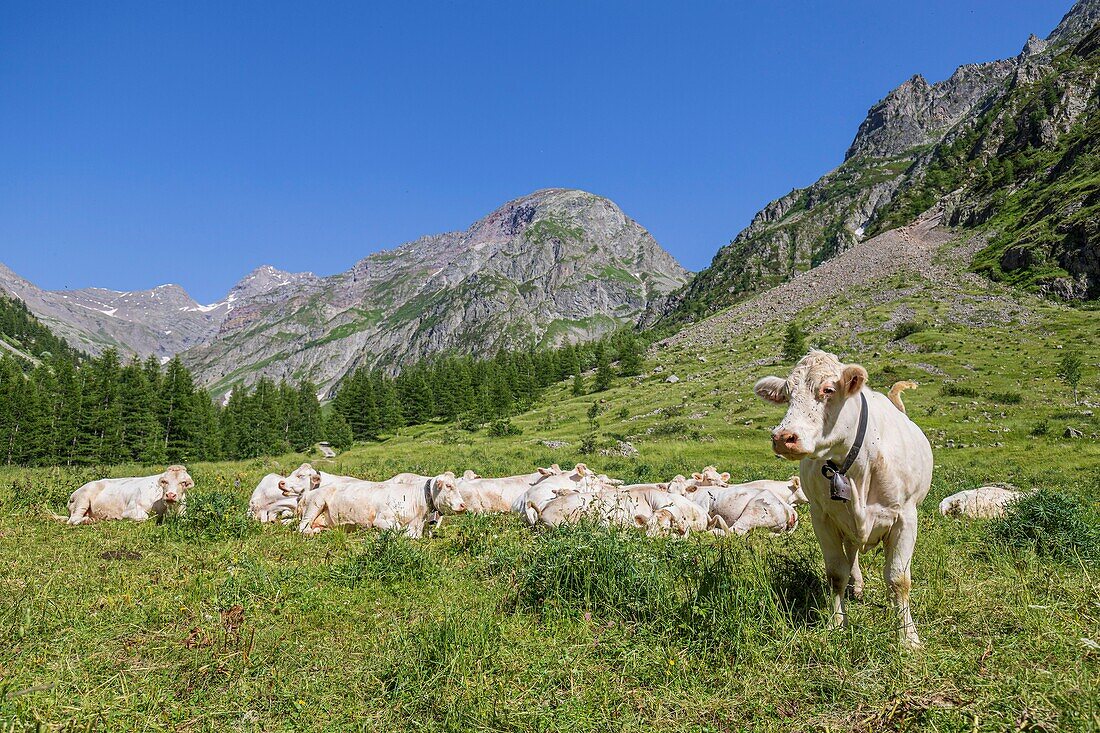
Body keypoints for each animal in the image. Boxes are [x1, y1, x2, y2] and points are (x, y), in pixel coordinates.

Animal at [62, 464, 192, 521]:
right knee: (73, 520)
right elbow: (144, 517)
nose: (170, 495)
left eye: (183, 482)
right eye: (165, 481)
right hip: (82, 500)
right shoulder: (131, 510)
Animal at [756, 349, 937, 647]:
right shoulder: (822, 517)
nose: (783, 437)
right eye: (787, 394)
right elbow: (836, 573)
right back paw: (857, 586)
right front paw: (836, 624)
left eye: (828, 389)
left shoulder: (906, 517)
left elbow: (898, 578)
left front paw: (908, 636)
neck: (856, 467)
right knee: (851, 553)